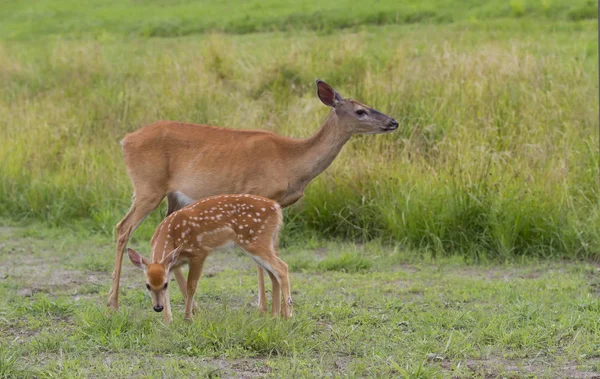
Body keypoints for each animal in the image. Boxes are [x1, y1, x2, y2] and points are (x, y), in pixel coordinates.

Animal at [108, 78, 398, 310]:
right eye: (360, 111)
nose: (393, 121)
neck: (291, 161)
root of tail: (124, 141)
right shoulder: (258, 196)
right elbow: (261, 261)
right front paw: (264, 306)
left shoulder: (277, 208)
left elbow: (273, 253)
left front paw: (275, 305)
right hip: (148, 187)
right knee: (122, 228)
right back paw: (113, 302)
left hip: (173, 197)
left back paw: (192, 304)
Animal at [126, 196, 290, 324]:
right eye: (147, 285)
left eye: (164, 284)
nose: (157, 308)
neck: (171, 236)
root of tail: (276, 208)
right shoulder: (171, 265)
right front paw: (168, 321)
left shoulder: (199, 253)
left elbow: (190, 286)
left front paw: (188, 318)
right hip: (260, 243)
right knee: (273, 274)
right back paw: (275, 316)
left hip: (256, 241)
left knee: (282, 267)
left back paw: (288, 316)